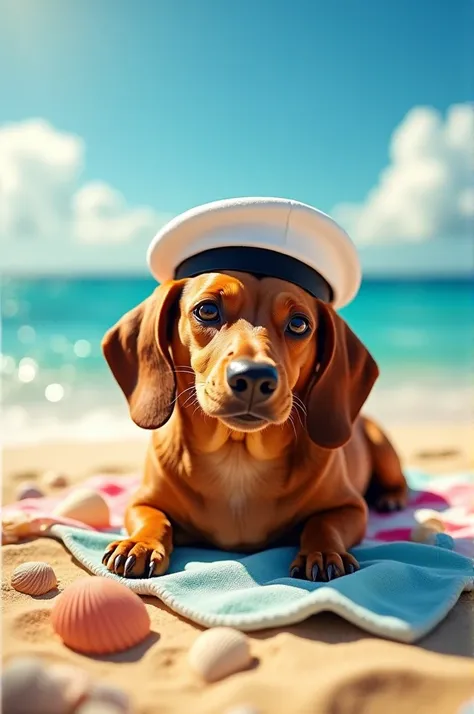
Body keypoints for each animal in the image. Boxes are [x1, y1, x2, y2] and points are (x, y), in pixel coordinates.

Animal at [100, 272, 408, 580]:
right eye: (207, 310)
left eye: (299, 324)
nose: (254, 376)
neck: (238, 458)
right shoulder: (140, 502)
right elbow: (154, 517)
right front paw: (140, 543)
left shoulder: (351, 508)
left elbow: (323, 523)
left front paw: (323, 552)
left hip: (383, 450)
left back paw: (391, 498)